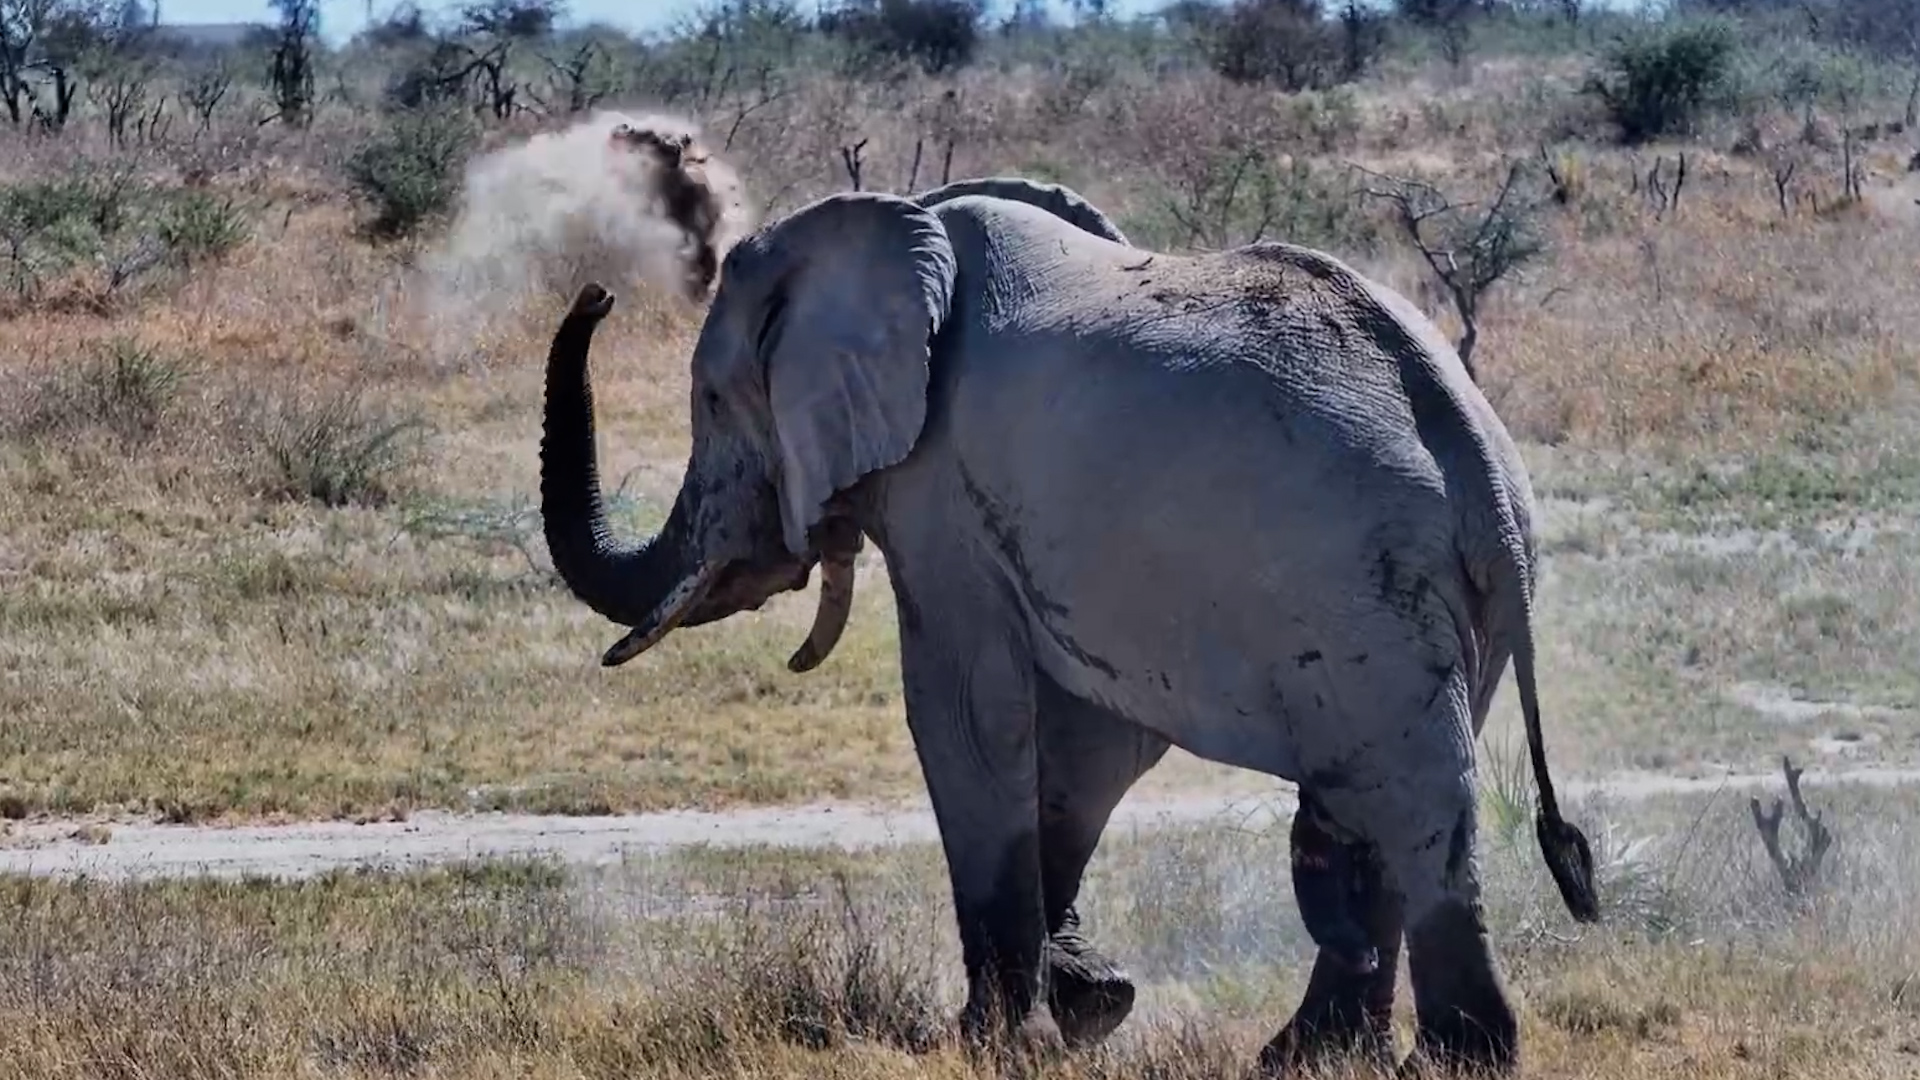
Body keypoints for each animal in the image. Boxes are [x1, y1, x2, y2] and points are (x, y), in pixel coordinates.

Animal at [535, 175, 1601, 1075]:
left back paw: (1455, 1059)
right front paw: (1093, 1004)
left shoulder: (941, 494)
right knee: (1360, 804)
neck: (909, 230)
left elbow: (967, 716)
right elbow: (1086, 741)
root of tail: (1478, 466)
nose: (596, 294)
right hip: (1432, 608)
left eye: (712, 403)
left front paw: (988, 1041)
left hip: (1367, 591)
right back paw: (1309, 1057)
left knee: (1415, 806)